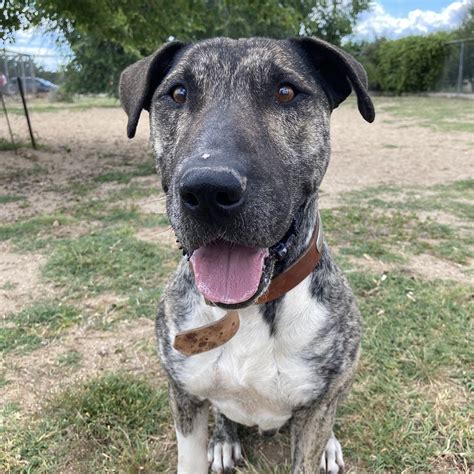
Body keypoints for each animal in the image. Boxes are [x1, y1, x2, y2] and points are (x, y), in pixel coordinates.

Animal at [120, 38, 376, 474]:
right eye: (178, 93)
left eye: (285, 92)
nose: (208, 190)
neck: (250, 309)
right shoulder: (185, 397)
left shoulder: (318, 404)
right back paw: (224, 440)